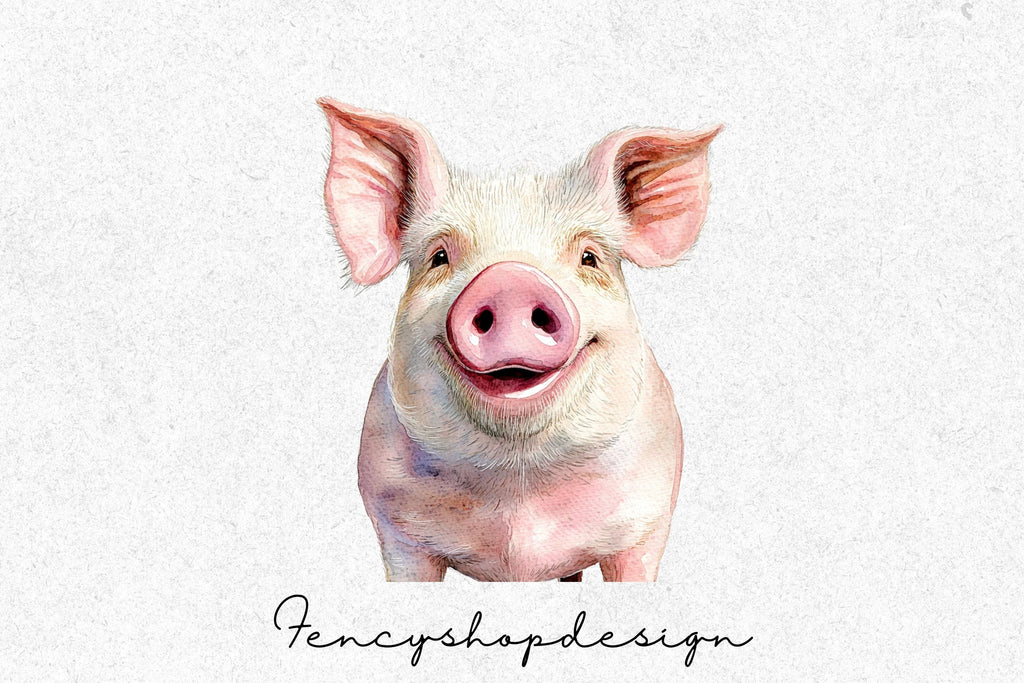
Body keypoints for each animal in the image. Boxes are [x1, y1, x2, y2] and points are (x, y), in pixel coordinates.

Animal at [317, 98, 721, 582]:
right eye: (439, 257)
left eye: (590, 257)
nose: (511, 279)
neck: (518, 482)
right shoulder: (397, 534)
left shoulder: (648, 524)